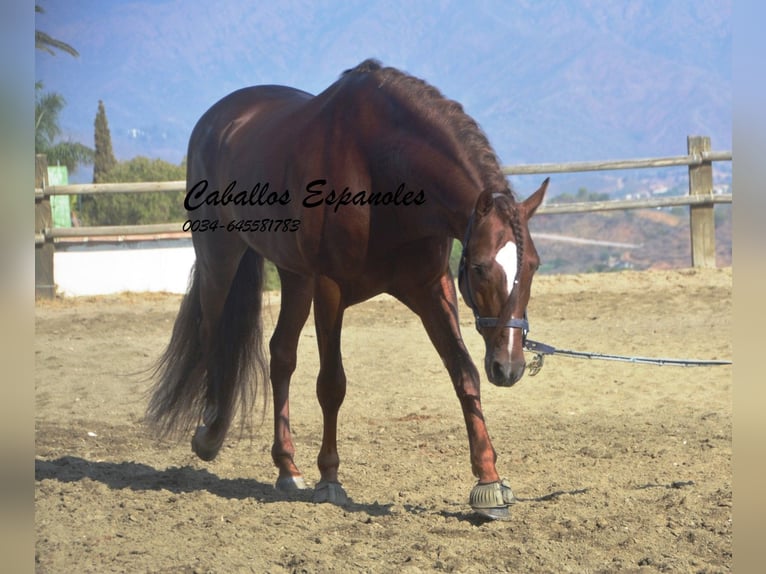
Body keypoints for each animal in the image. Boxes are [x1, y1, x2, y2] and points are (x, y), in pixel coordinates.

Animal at [147, 59, 548, 520]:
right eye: (481, 268)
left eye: (533, 266)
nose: (510, 366)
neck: (383, 169)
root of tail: (219, 119)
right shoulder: (331, 288)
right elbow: (332, 384)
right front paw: (330, 479)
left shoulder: (431, 288)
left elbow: (463, 373)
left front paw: (488, 482)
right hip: (220, 253)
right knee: (213, 332)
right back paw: (210, 433)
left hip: (294, 275)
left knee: (281, 355)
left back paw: (288, 467)